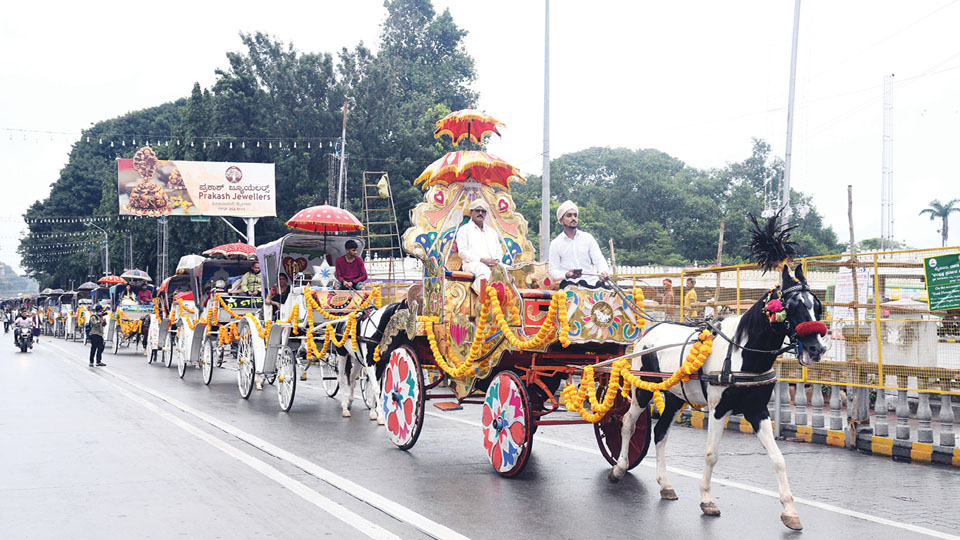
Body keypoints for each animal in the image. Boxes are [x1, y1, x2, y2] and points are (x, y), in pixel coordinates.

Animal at [616, 266, 824, 532]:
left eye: (817, 306)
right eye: (792, 305)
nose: (817, 349)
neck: (742, 355)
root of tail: (649, 331)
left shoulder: (758, 411)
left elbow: (777, 458)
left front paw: (789, 510)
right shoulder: (718, 410)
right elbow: (711, 454)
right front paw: (707, 499)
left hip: (675, 397)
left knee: (660, 432)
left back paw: (665, 484)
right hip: (641, 391)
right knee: (628, 424)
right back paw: (619, 467)